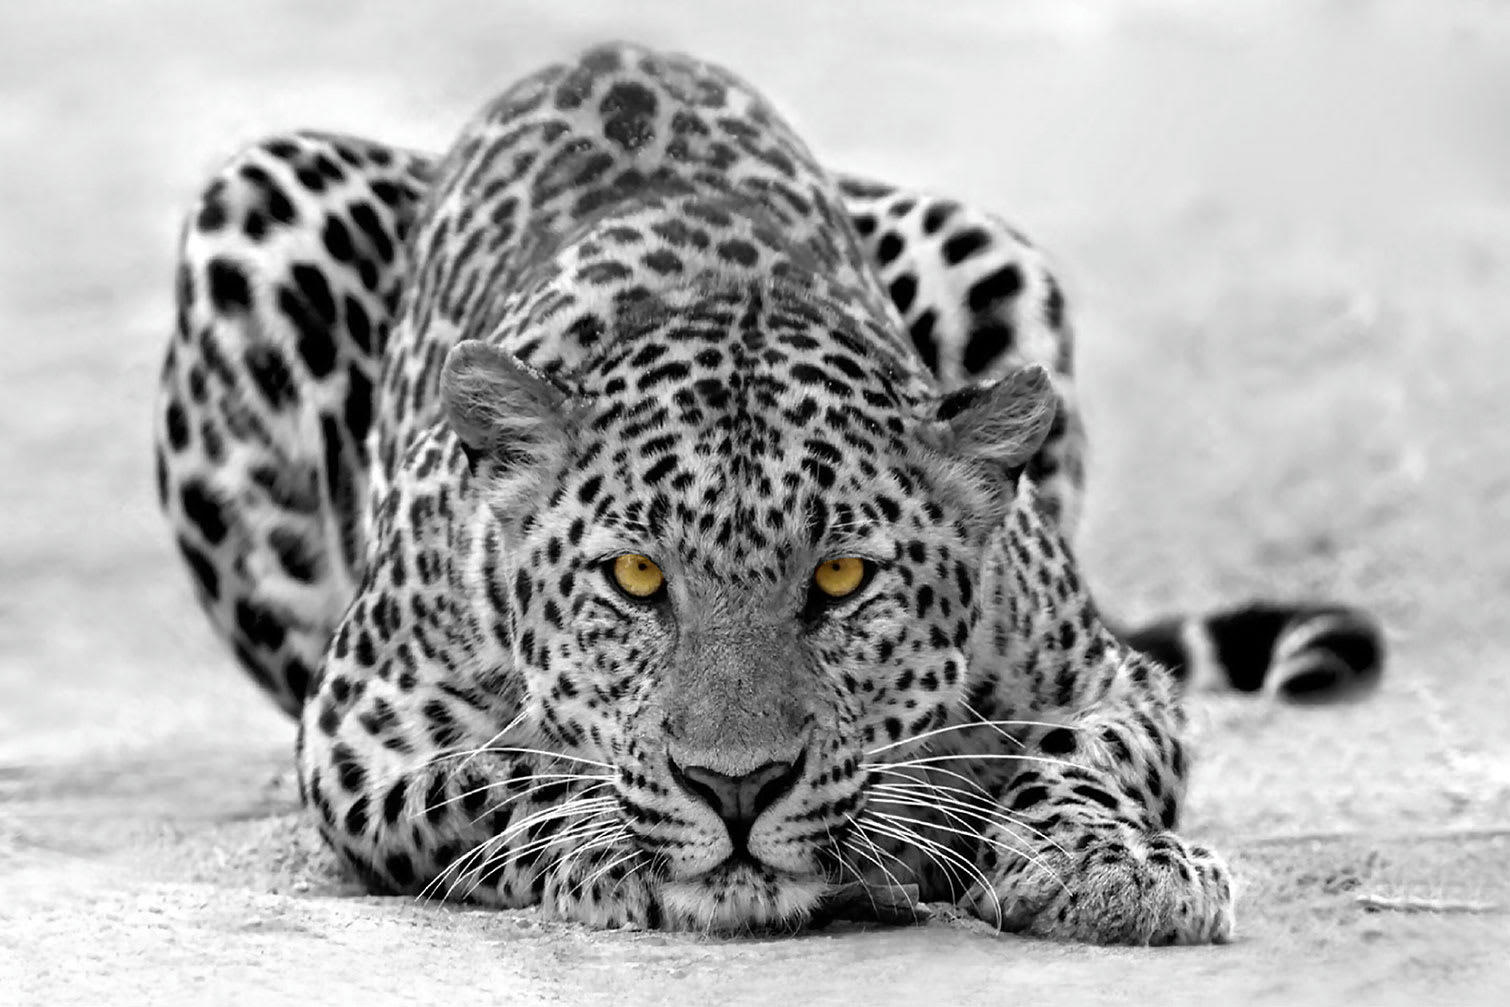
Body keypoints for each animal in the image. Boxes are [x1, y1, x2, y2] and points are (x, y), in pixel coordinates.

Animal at [154, 41, 1384, 943]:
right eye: (635, 577)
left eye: (839, 579)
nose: (735, 789)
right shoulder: (362, 728)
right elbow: (500, 772)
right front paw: (608, 840)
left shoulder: (1109, 679)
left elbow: (1082, 756)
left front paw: (1111, 860)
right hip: (256, 207)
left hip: (987, 247)